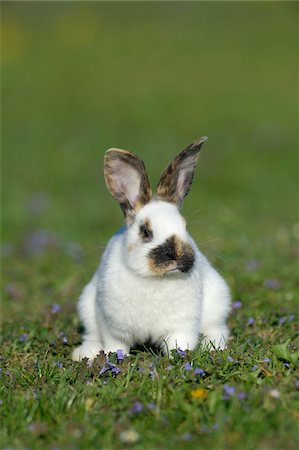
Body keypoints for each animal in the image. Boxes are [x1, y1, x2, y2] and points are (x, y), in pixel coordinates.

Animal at [72, 137, 232, 362]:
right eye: (145, 231)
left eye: (185, 226)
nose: (177, 255)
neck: (156, 279)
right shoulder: (114, 330)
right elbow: (116, 346)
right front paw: (116, 359)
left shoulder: (181, 327)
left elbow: (179, 344)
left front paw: (178, 359)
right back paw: (84, 353)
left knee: (218, 330)